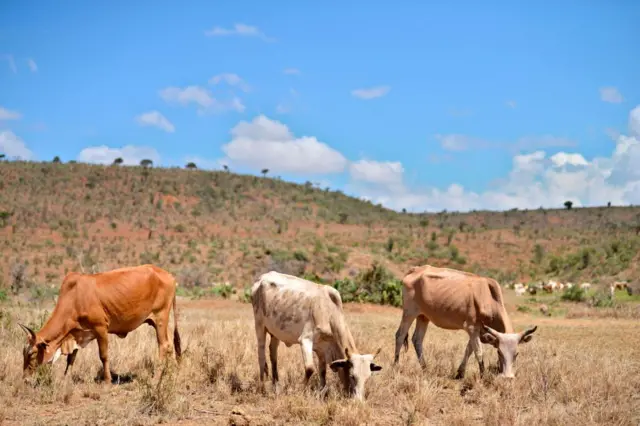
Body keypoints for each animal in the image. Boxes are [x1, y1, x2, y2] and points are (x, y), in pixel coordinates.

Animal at [20, 262, 180, 382]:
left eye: (32, 353)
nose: (25, 379)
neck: (74, 297)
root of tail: (169, 276)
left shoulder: (101, 328)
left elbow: (103, 356)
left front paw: (107, 380)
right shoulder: (77, 333)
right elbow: (71, 358)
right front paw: (66, 378)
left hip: (160, 317)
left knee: (163, 345)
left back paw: (156, 377)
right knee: (169, 345)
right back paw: (169, 373)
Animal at [249, 272, 380, 402]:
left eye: (368, 378)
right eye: (352, 376)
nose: (359, 401)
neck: (329, 312)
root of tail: (262, 277)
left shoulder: (322, 348)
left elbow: (322, 372)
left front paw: (321, 394)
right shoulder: (305, 339)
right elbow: (310, 368)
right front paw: (300, 390)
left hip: (275, 332)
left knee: (273, 353)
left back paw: (276, 386)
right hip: (259, 325)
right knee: (261, 354)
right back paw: (262, 387)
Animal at [396, 266, 536, 380]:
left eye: (516, 354)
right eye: (499, 352)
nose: (508, 377)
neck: (488, 297)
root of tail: (415, 269)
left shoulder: (478, 331)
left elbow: (469, 350)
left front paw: (460, 373)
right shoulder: (472, 327)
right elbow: (478, 352)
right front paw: (482, 376)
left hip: (423, 316)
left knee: (417, 339)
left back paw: (425, 368)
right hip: (409, 312)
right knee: (400, 335)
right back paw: (396, 365)